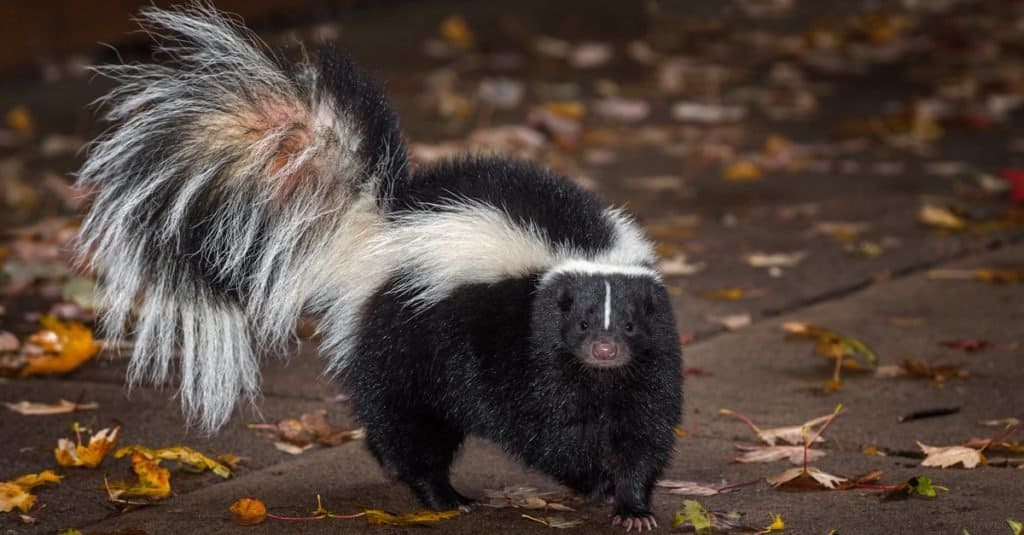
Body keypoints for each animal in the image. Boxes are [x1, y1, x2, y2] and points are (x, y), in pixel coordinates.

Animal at [77, 5, 679, 528]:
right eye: (580, 321)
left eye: (628, 324)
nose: (604, 349)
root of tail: (377, 223)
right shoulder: (520, 348)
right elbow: (542, 426)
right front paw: (595, 479)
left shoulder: (649, 359)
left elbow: (645, 426)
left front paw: (632, 503)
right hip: (406, 335)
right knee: (408, 421)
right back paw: (441, 493)